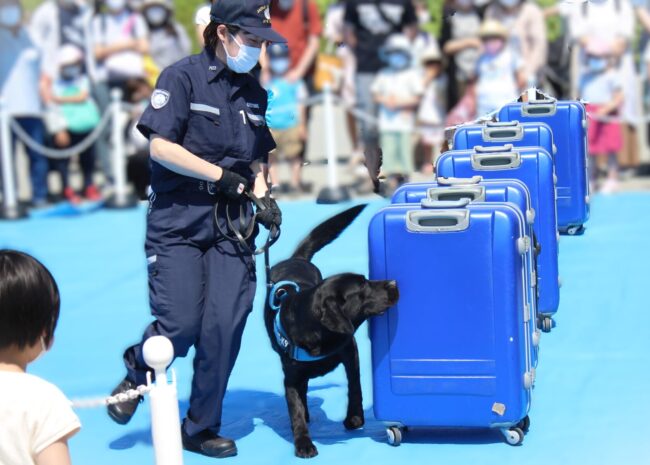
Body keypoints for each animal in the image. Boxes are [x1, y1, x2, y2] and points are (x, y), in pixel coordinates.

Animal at [262, 204, 394, 456]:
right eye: (362, 287)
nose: (393, 283)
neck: (318, 333)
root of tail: (295, 259)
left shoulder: (350, 350)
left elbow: (355, 385)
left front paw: (355, 417)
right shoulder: (291, 377)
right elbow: (295, 409)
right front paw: (303, 442)